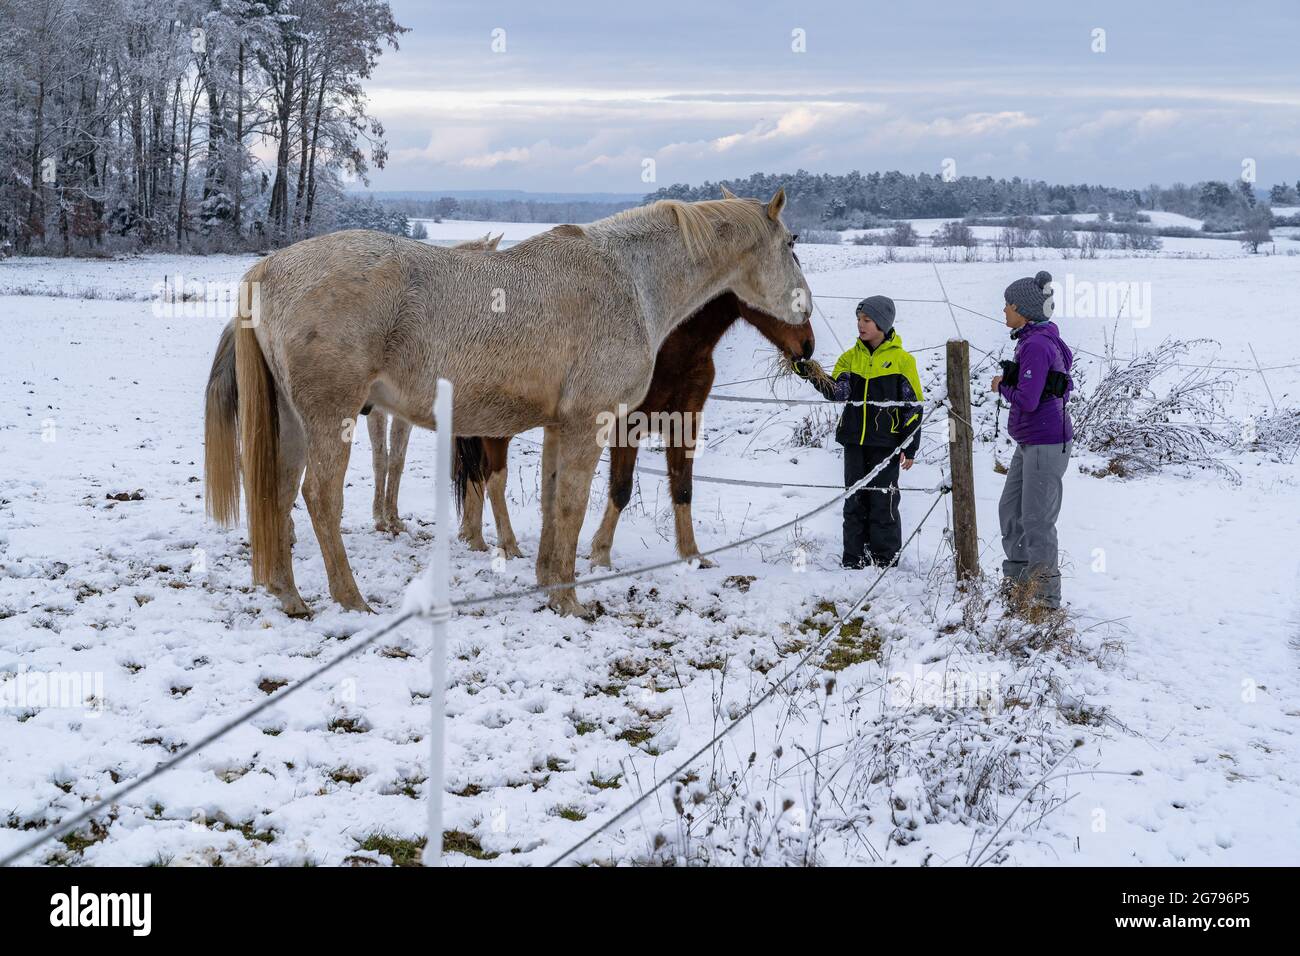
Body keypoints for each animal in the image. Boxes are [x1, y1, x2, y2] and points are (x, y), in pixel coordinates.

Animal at [457, 291, 816, 567]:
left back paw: (474, 537)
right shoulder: (625, 428)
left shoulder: (683, 426)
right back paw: (508, 545)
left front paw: (692, 554)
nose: (807, 346)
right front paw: (600, 554)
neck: (674, 345)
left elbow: (683, 488)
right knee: (495, 479)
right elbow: (621, 488)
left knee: (477, 474)